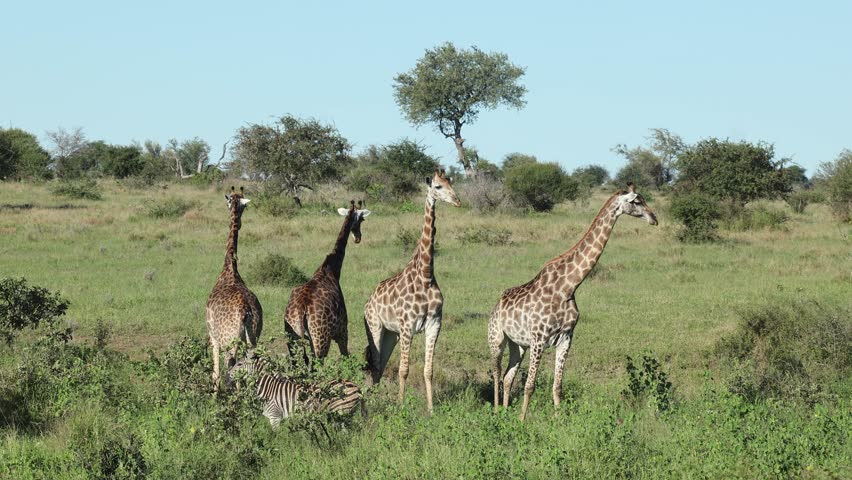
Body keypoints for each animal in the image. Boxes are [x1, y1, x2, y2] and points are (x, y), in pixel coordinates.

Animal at [206, 186, 263, 393]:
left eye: (227, 201)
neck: (230, 268)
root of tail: (244, 311)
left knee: (232, 367)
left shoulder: (213, 337)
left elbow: (215, 374)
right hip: (253, 338)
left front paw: (214, 394)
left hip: (230, 341)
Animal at [228, 355, 363, 428]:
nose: (228, 374)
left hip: (342, 412)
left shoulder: (275, 417)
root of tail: (357, 386)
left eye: (239, 364)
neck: (268, 388)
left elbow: (276, 440)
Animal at [283, 200, 371, 360]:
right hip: (320, 339)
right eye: (362, 219)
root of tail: (301, 311)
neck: (331, 269)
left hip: (292, 338)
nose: (358, 238)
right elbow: (346, 356)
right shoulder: (343, 330)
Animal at [363, 169, 460, 414]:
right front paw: (400, 406)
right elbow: (403, 370)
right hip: (375, 327)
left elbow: (428, 370)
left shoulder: (434, 324)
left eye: (451, 183)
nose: (457, 201)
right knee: (376, 363)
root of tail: (368, 301)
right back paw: (377, 402)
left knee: (381, 363)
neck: (426, 275)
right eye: (437, 186)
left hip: (391, 334)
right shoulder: (407, 326)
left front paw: (431, 410)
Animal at [488, 183, 657, 420]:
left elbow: (557, 386)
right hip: (497, 338)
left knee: (507, 376)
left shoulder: (566, 337)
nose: (654, 218)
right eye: (636, 201)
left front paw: (558, 421)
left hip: (518, 345)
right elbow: (530, 386)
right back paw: (495, 411)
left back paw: (504, 412)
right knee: (495, 371)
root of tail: (497, 304)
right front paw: (522, 422)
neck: (568, 287)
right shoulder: (539, 338)